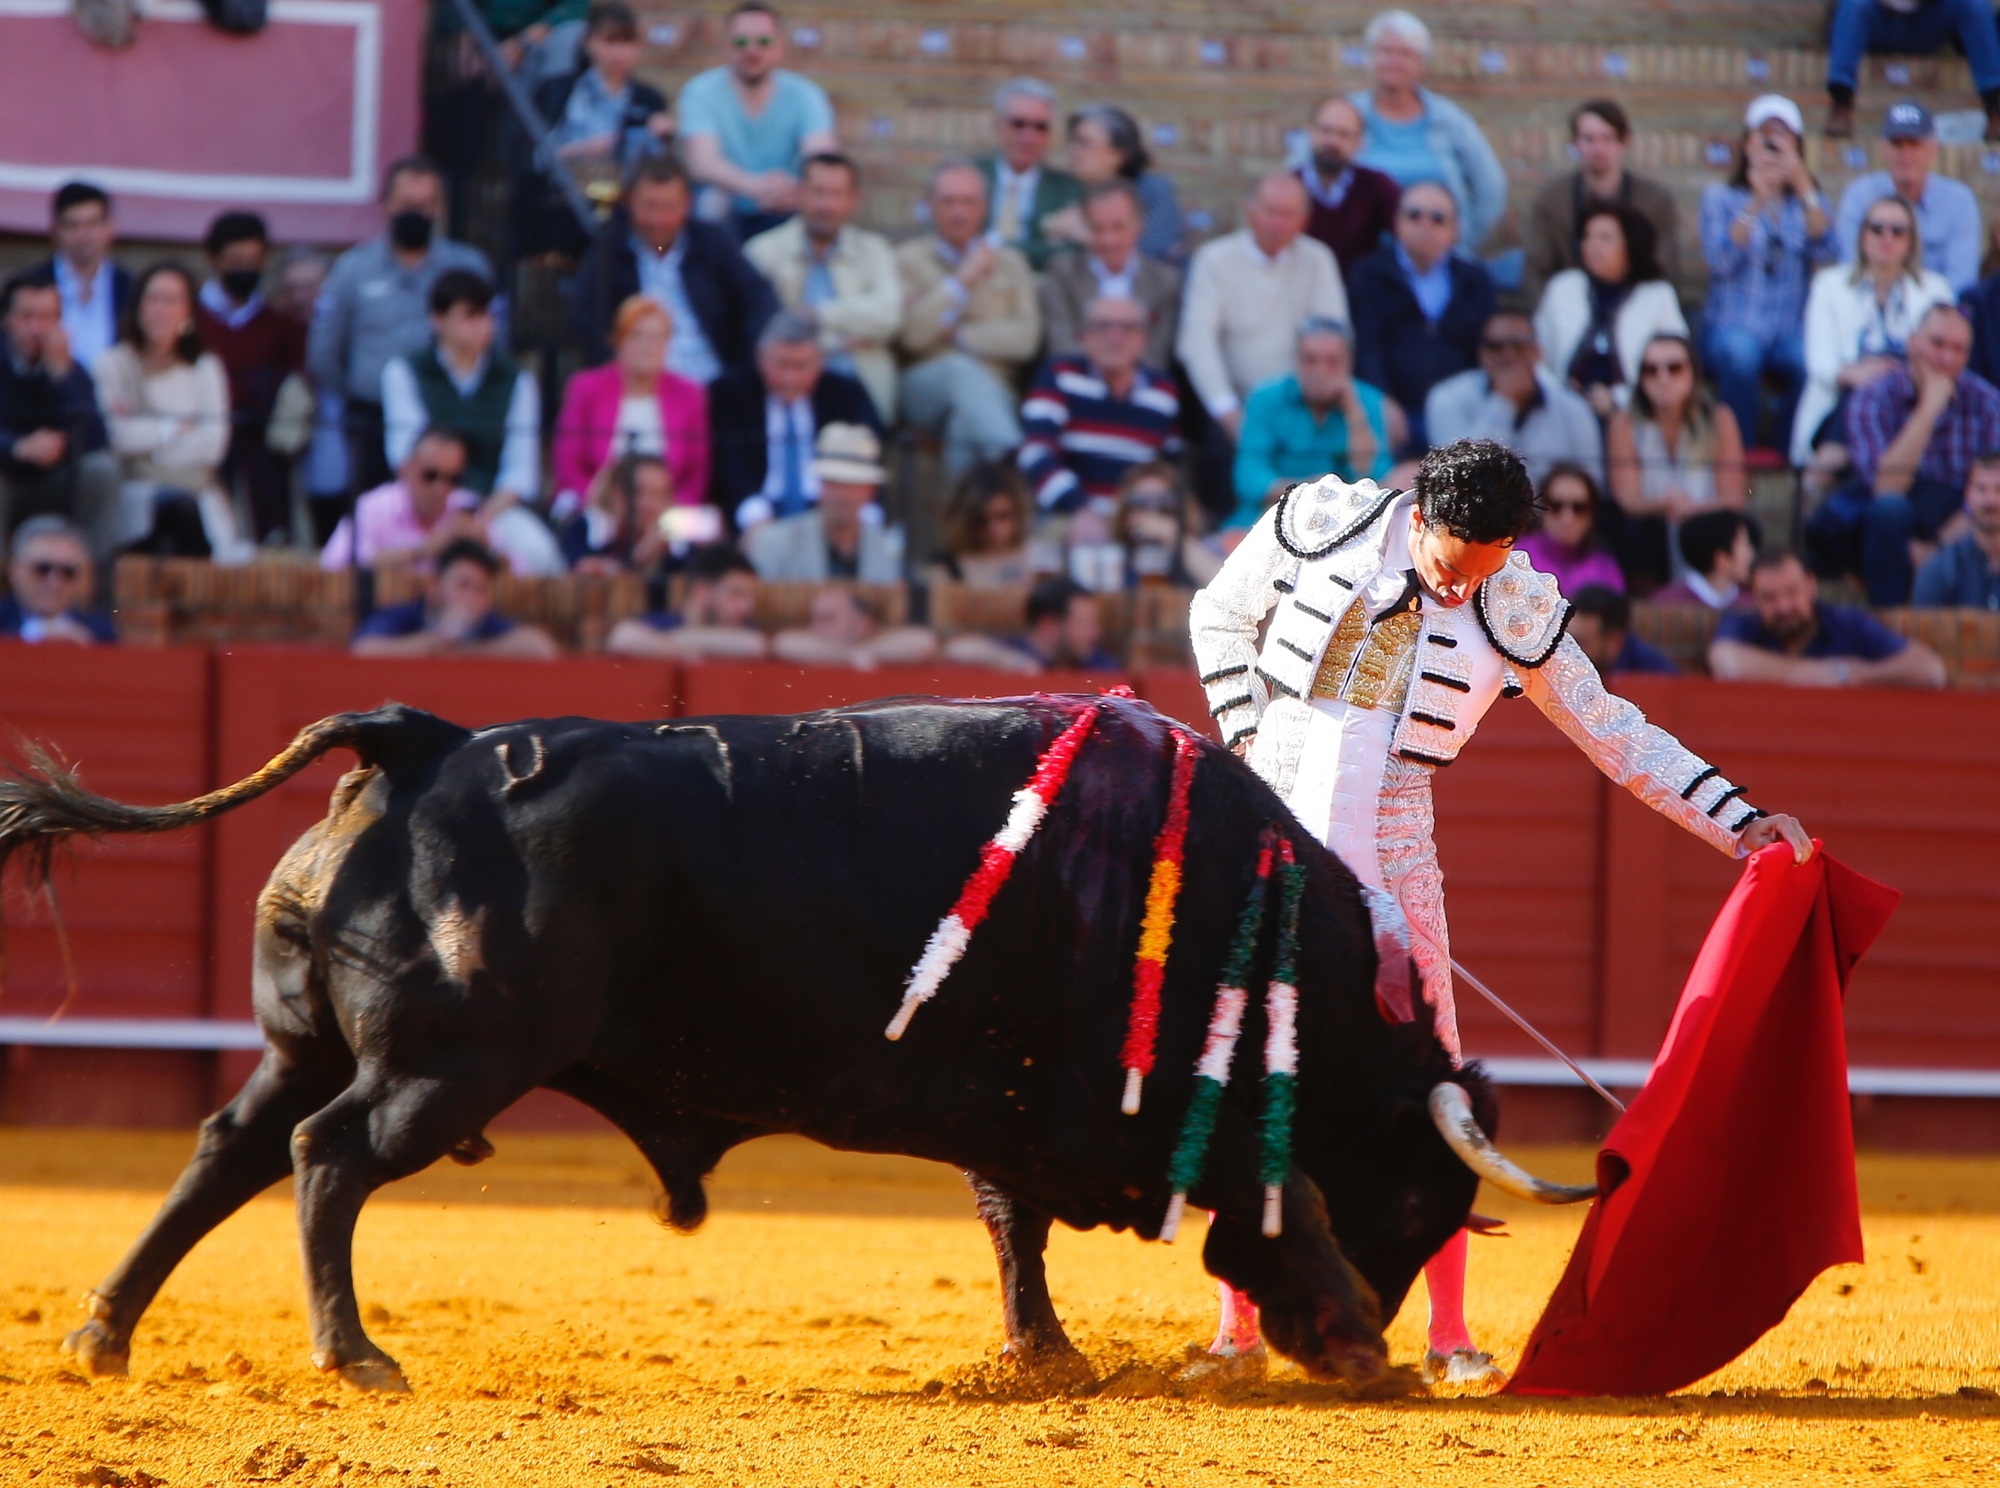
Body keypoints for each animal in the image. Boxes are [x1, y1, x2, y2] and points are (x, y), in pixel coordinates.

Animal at [3, 696, 1592, 1392]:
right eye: (1420, 1194)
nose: (1374, 1330)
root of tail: (425, 742)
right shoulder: (1133, 1110)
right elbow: (1278, 1198)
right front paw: (1347, 1334)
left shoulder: (1010, 1111)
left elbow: (1013, 1224)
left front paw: (1045, 1357)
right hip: (447, 1066)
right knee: (326, 1160)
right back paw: (354, 1355)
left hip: (309, 1044)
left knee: (229, 1148)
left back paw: (104, 1331)